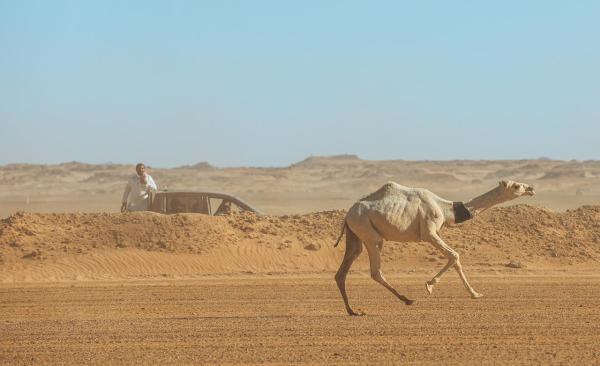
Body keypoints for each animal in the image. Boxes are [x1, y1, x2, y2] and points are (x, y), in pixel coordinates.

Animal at [336, 180, 536, 314]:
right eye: (516, 186)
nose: (531, 188)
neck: (445, 209)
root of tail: (347, 215)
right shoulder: (429, 232)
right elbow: (455, 255)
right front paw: (430, 285)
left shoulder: (435, 233)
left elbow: (455, 258)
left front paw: (474, 293)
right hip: (370, 233)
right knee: (375, 270)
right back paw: (407, 299)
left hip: (355, 235)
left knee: (343, 271)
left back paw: (352, 311)